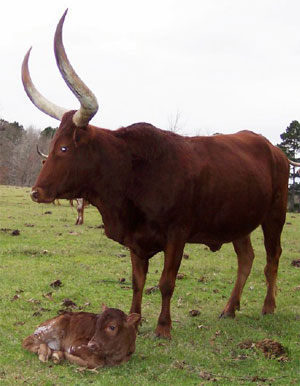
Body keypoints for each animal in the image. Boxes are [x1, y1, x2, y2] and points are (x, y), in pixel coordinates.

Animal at [22, 10, 300, 340]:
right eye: (52, 146)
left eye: (64, 148)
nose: (36, 192)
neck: (133, 172)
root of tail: (273, 149)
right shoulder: (135, 240)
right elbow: (137, 282)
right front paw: (134, 321)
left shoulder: (177, 235)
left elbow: (166, 282)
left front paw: (163, 328)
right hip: (238, 221)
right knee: (246, 259)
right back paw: (229, 309)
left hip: (275, 215)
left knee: (272, 259)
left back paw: (268, 307)